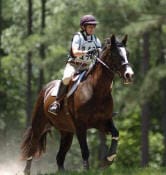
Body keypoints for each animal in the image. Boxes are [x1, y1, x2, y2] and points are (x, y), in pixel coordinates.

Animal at [21, 34, 134, 175]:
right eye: (115, 54)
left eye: (127, 53)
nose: (129, 75)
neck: (97, 91)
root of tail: (46, 88)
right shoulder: (80, 125)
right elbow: (85, 150)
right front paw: (87, 169)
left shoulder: (103, 122)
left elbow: (116, 133)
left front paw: (108, 159)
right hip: (39, 125)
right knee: (32, 146)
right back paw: (27, 170)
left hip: (66, 132)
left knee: (60, 156)